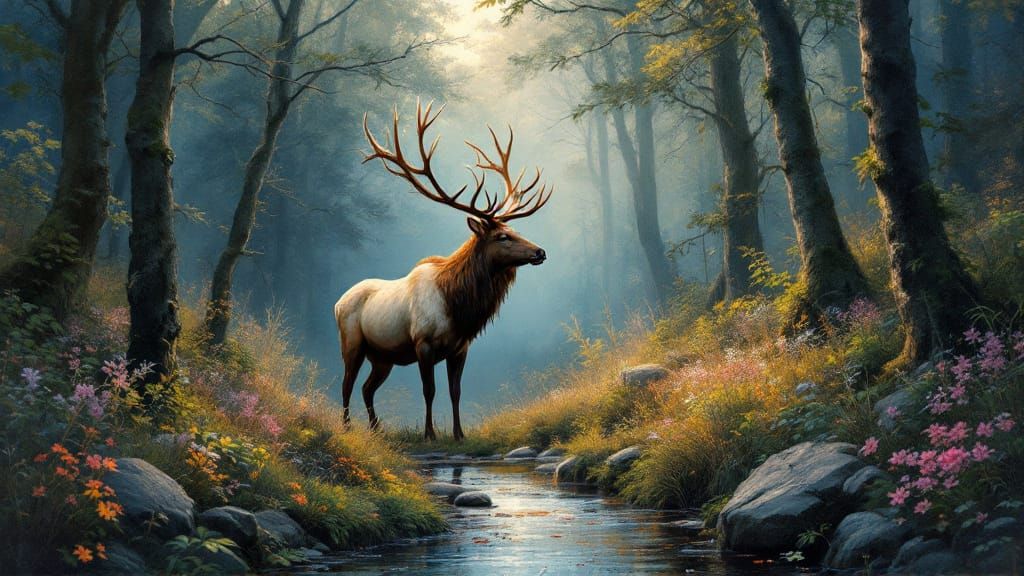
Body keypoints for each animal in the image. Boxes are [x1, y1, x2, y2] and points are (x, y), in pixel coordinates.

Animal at [334, 102, 553, 441]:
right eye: (502, 236)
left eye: (515, 230)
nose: (540, 252)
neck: (458, 306)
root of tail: (337, 302)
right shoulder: (423, 342)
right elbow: (429, 390)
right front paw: (430, 433)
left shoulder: (460, 348)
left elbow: (455, 391)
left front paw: (459, 433)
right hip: (353, 342)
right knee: (346, 384)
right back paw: (347, 428)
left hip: (383, 356)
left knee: (367, 388)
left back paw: (376, 428)